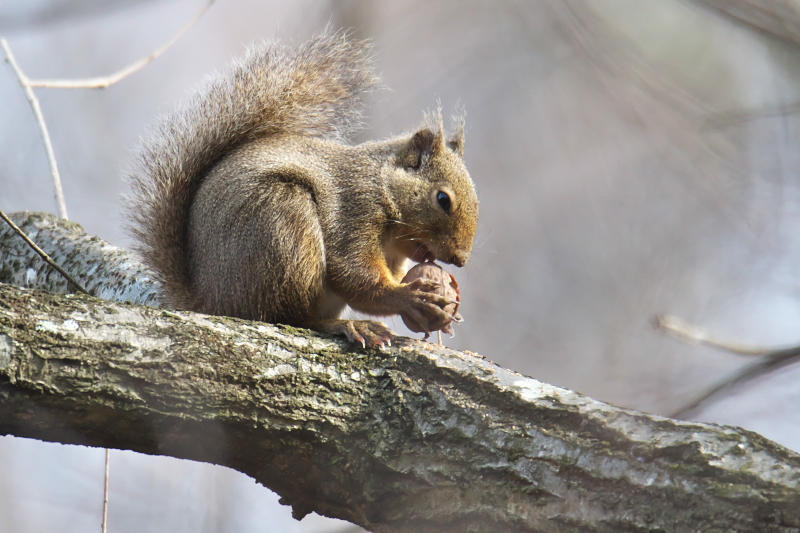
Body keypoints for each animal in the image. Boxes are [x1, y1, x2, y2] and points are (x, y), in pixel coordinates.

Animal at [124, 31, 476, 348]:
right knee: (290, 317)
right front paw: (409, 297)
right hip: (285, 226)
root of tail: (210, 301)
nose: (460, 260)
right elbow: (354, 275)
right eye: (443, 199)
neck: (382, 185)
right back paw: (347, 325)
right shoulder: (354, 210)